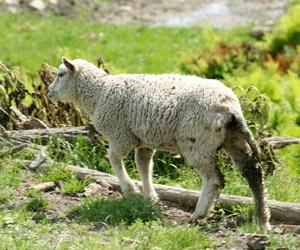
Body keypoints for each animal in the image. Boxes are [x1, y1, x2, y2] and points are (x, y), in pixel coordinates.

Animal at [47, 57, 272, 230]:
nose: (49, 92)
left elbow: (113, 158)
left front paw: (130, 190)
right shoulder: (144, 140)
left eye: (61, 74)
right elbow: (144, 165)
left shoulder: (121, 135)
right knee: (253, 173)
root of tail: (230, 107)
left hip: (197, 142)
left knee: (214, 180)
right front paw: (150, 197)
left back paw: (199, 214)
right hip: (232, 139)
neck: (99, 92)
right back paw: (263, 219)